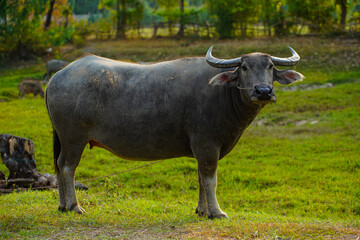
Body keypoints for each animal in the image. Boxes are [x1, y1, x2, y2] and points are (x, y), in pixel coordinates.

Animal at [45, 46, 304, 218]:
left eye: (271, 67)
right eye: (244, 67)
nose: (263, 91)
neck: (221, 93)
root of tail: (57, 76)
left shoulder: (201, 149)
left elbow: (200, 179)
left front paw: (202, 210)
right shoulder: (207, 144)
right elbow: (210, 179)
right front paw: (217, 212)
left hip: (65, 139)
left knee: (58, 166)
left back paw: (62, 205)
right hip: (73, 138)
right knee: (67, 167)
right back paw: (74, 206)